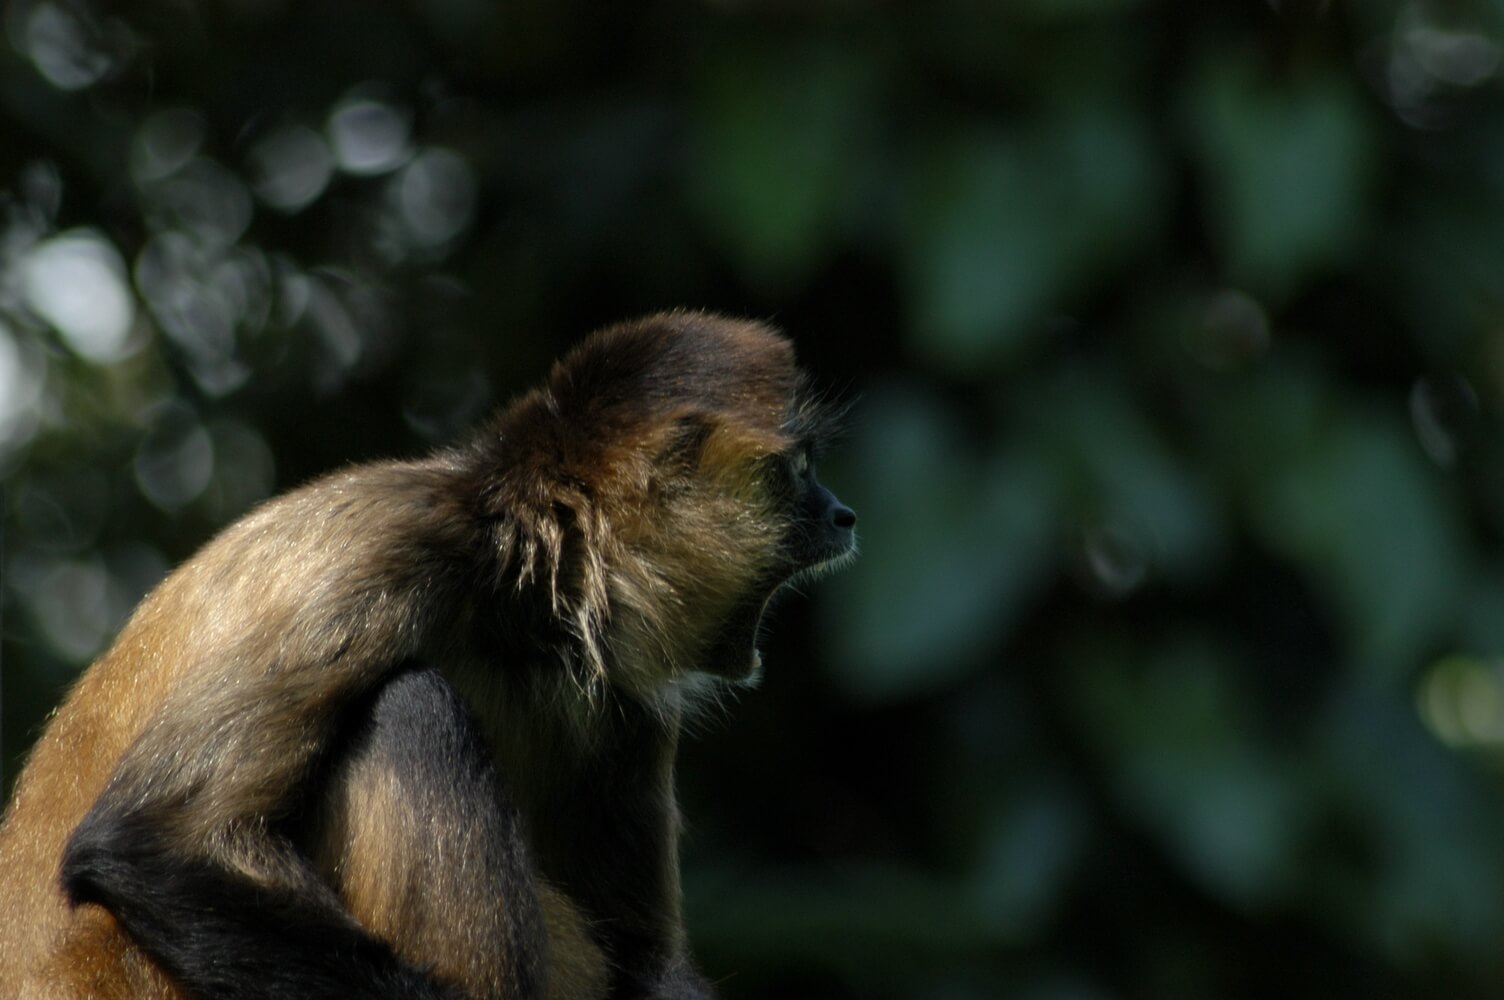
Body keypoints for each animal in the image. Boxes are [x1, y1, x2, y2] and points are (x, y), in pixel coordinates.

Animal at [0, 312, 860, 998]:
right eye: (801, 472)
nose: (844, 514)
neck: (513, 604)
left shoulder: (626, 695)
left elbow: (643, 960)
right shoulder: (390, 549)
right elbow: (146, 848)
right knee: (413, 711)